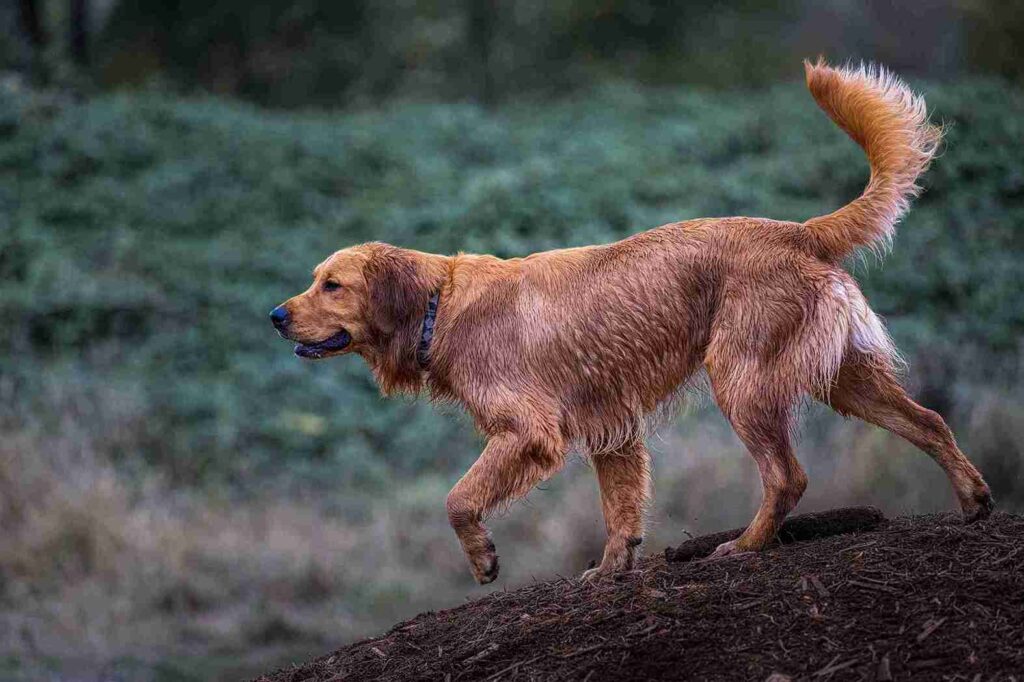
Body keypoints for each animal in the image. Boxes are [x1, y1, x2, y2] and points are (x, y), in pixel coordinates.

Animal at [272, 59, 991, 577]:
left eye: (332, 285)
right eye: (313, 280)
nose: (275, 315)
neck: (436, 306)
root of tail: (798, 230)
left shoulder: (528, 432)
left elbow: (457, 499)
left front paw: (483, 558)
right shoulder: (610, 428)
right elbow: (619, 511)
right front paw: (611, 572)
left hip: (742, 379)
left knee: (788, 476)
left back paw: (745, 548)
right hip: (845, 378)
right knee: (929, 423)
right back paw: (974, 501)